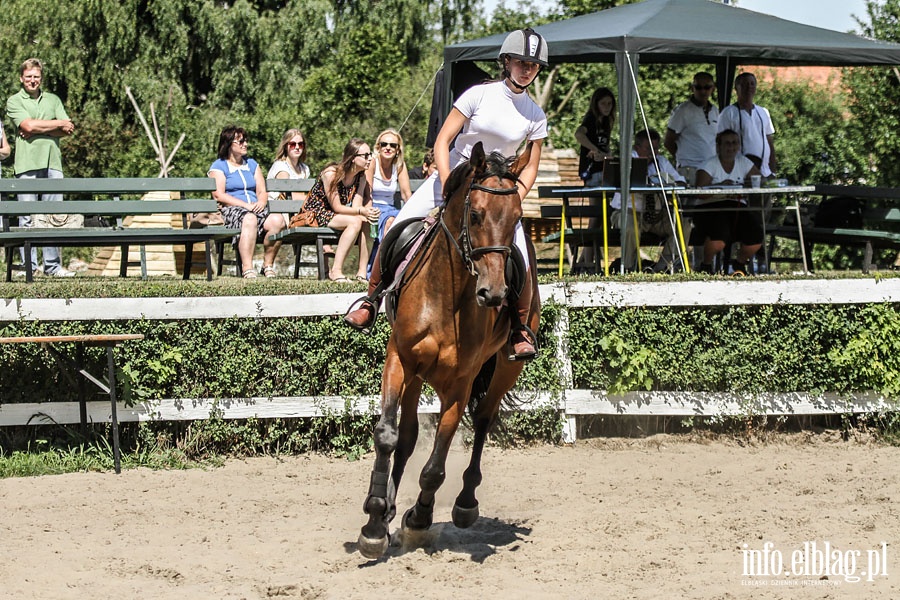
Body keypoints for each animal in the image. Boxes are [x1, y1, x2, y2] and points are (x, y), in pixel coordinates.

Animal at [356, 141, 540, 556]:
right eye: (475, 214)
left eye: (517, 217)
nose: (494, 294)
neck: (447, 294)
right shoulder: (399, 359)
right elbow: (389, 435)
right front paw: (375, 521)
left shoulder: (461, 383)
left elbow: (435, 467)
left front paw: (419, 519)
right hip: (417, 374)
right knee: (407, 437)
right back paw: (388, 510)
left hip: (506, 368)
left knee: (484, 419)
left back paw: (464, 504)